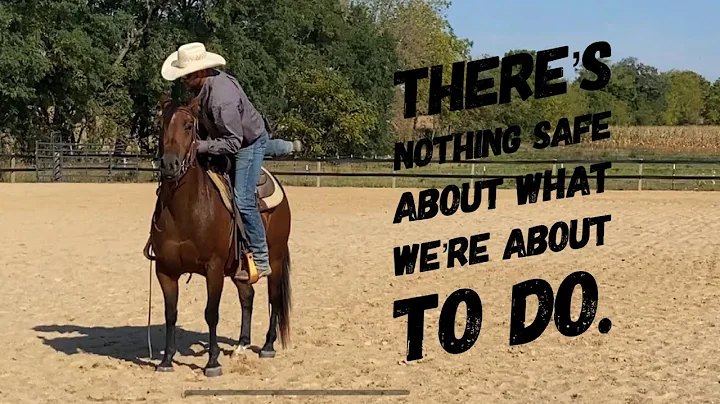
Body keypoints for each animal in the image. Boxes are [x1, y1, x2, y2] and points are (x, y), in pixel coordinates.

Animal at [143, 94, 292, 377]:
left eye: (188, 126)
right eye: (161, 125)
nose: (169, 164)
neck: (185, 211)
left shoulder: (213, 268)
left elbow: (211, 313)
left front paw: (212, 362)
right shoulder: (165, 270)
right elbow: (170, 313)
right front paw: (166, 360)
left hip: (275, 259)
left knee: (274, 298)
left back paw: (267, 345)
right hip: (238, 268)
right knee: (247, 296)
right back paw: (242, 345)